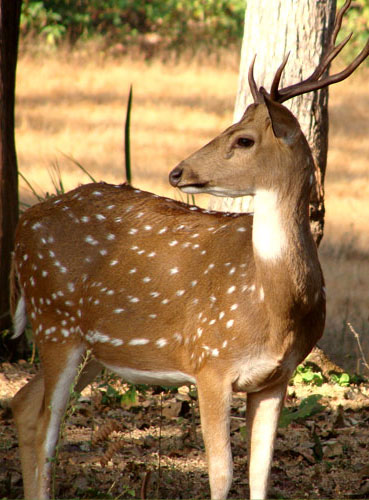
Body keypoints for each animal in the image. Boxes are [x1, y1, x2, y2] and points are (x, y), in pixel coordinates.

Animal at [10, 1, 368, 498]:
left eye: (243, 139)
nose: (177, 172)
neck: (274, 304)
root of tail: (22, 227)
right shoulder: (209, 362)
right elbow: (221, 473)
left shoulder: (276, 377)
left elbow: (261, 473)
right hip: (55, 319)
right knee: (47, 423)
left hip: (92, 347)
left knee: (24, 406)